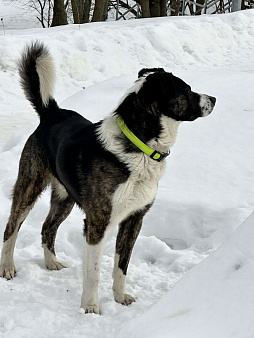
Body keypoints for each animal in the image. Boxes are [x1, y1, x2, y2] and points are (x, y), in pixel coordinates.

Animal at [0, 42, 216, 314]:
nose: (214, 99)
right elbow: (93, 273)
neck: (140, 145)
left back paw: (51, 263)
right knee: (11, 227)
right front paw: (90, 308)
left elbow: (121, 266)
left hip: (64, 198)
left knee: (47, 228)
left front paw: (120, 298)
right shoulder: (98, 223)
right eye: (186, 90)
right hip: (29, 185)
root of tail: (52, 113)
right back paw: (7, 267)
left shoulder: (135, 219)